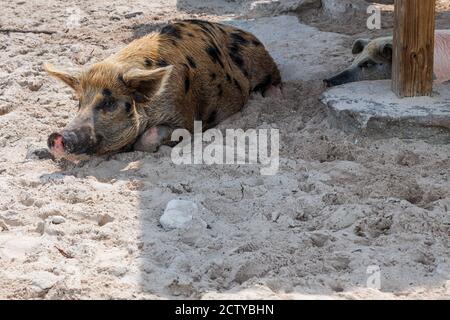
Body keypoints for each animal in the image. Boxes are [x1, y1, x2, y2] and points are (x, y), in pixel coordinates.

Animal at [44, 19, 280, 159]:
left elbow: (148, 140)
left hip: (263, 62)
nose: (56, 136)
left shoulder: (185, 118)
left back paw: (272, 95)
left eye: (109, 103)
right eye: (79, 102)